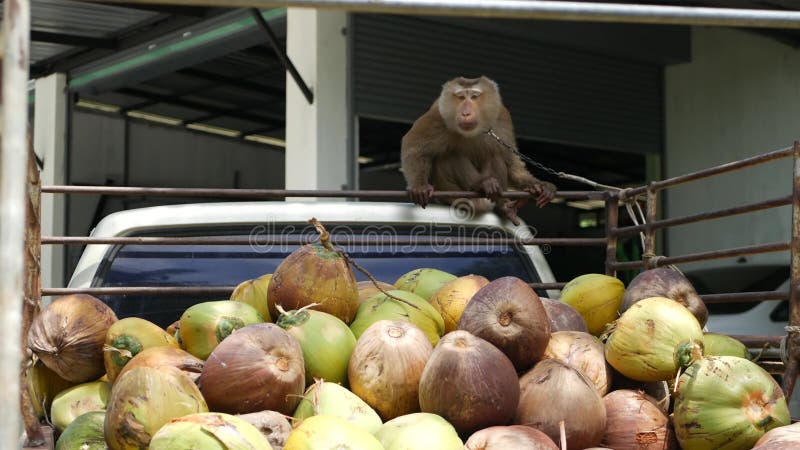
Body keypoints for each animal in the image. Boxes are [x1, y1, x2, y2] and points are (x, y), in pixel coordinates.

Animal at [400, 76, 556, 229]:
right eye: (461, 97)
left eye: (474, 97)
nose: (465, 113)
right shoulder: (438, 115)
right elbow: (414, 148)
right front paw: (419, 186)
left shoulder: (502, 117)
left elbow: (511, 162)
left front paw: (539, 185)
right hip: (451, 194)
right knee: (448, 156)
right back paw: (480, 184)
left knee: (495, 154)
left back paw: (503, 204)